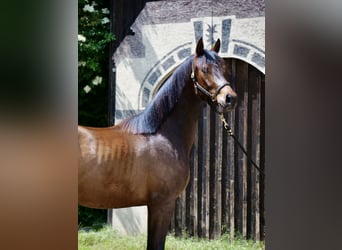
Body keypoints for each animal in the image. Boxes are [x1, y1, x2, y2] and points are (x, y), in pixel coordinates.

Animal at [78, 38, 236, 249]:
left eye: (223, 67)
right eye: (204, 69)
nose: (230, 98)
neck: (163, 135)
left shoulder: (154, 205)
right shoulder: (163, 204)